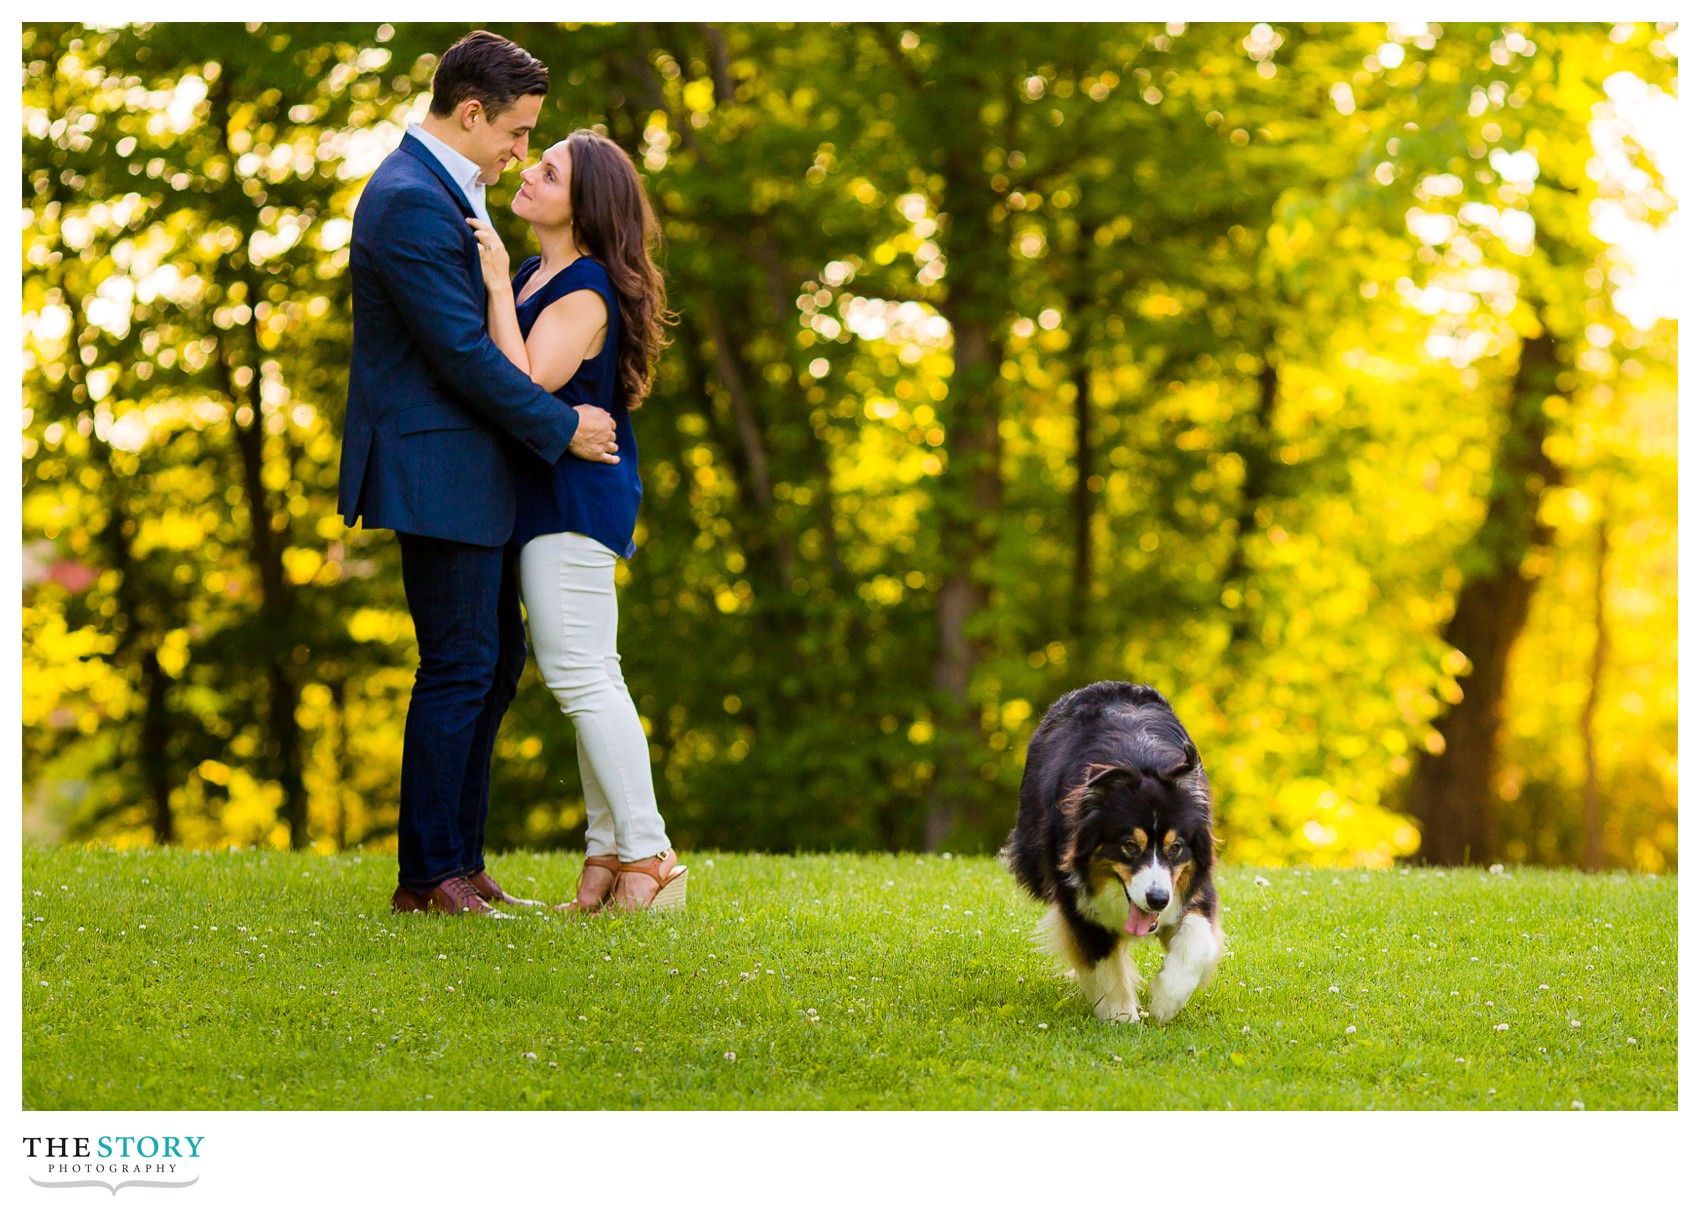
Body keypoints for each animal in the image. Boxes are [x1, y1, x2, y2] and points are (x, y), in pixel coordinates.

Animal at [992, 679, 1224, 1019]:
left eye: (1176, 847)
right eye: (1129, 846)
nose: (1157, 900)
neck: (1139, 760)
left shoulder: (1192, 884)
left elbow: (1198, 936)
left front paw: (1165, 999)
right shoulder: (1070, 885)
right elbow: (1101, 957)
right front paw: (1121, 1017)